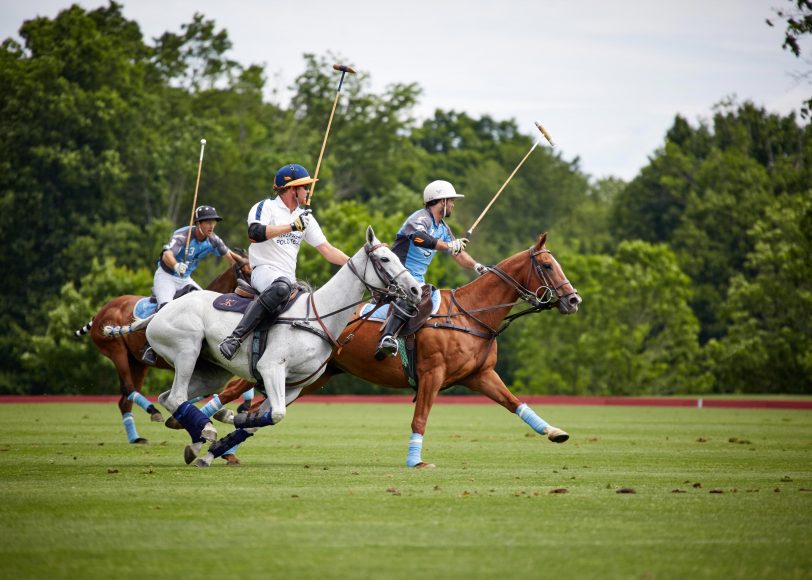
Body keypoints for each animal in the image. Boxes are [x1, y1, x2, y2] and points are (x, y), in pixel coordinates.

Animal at [75, 251, 251, 446]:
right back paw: (153, 412)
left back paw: (136, 437)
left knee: (124, 400)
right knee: (128, 388)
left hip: (138, 364)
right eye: (246, 270)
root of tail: (99, 313)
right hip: (117, 352)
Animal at [106, 227, 418, 466]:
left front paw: (219, 439)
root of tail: (160, 311)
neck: (318, 317)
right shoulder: (271, 368)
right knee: (176, 395)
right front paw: (227, 418)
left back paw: (196, 442)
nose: (415, 290)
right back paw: (205, 429)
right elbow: (274, 414)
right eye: (385, 258)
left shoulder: (294, 386)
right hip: (186, 350)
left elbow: (263, 419)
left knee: (168, 396)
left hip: (210, 372)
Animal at [209, 233, 576, 468]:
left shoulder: (480, 375)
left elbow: (516, 403)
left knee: (259, 408)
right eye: (547, 265)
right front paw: (416, 461)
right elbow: (420, 417)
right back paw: (214, 427)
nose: (574, 300)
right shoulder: (432, 373)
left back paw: (223, 445)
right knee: (232, 389)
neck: (470, 314)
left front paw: (555, 432)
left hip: (315, 376)